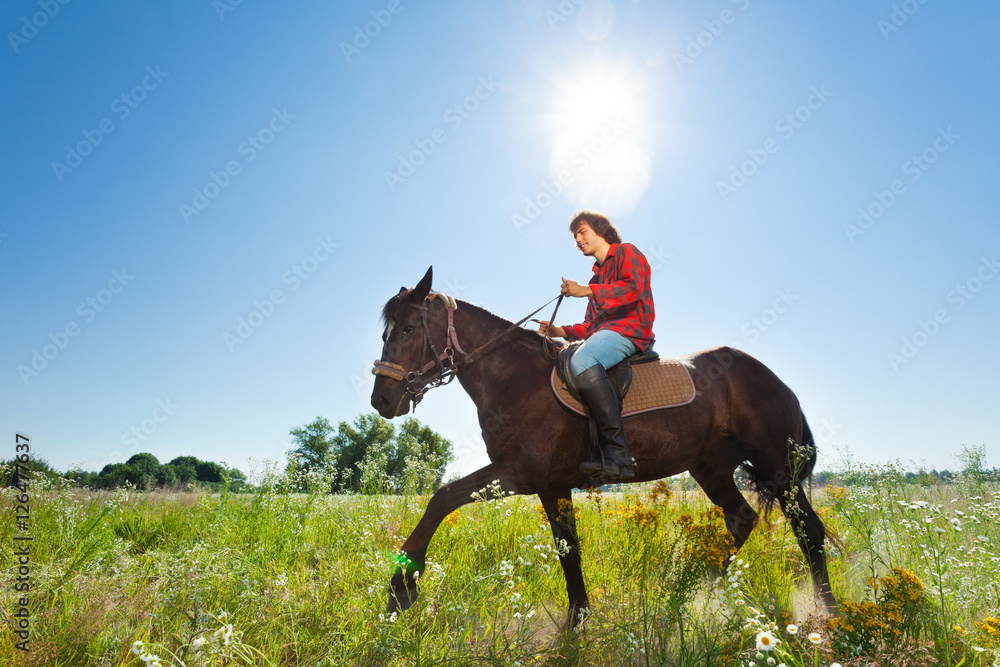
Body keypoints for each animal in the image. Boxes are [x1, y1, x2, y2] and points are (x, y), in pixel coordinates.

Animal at [372, 266, 832, 628]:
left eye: (409, 329)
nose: (381, 400)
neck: (514, 377)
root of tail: (773, 378)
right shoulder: (551, 486)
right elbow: (569, 553)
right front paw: (579, 621)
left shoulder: (517, 473)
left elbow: (442, 497)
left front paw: (402, 586)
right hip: (711, 467)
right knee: (741, 519)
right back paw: (694, 593)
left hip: (777, 467)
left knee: (809, 530)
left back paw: (825, 611)